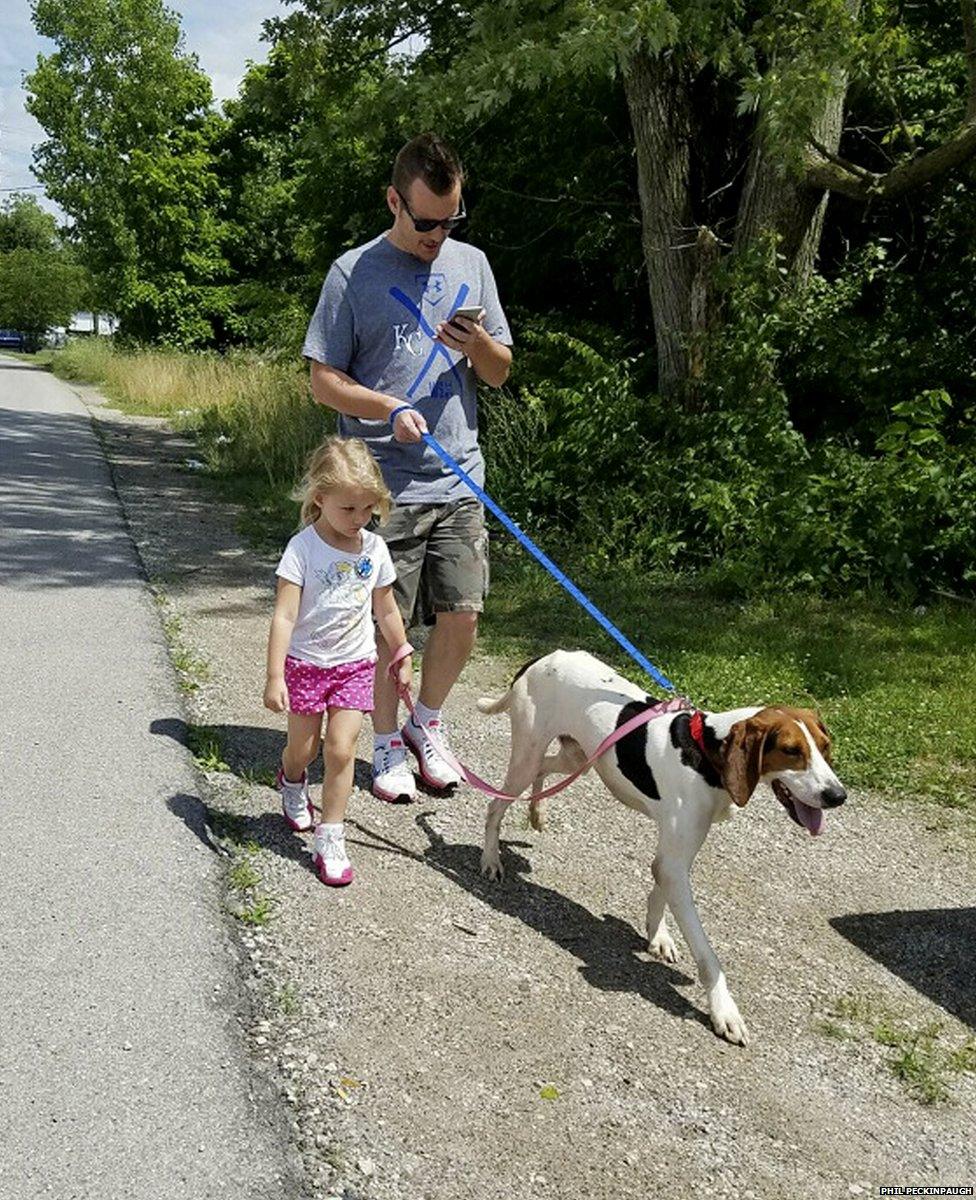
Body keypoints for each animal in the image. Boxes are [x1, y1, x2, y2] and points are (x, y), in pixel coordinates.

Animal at [475, 652, 840, 1046]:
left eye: (825, 747)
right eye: (791, 751)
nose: (838, 796)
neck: (705, 751)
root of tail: (545, 657)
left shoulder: (676, 855)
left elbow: (659, 888)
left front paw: (657, 934)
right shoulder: (675, 860)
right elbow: (708, 956)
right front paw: (724, 1010)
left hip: (577, 757)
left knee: (543, 771)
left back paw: (537, 811)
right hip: (527, 756)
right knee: (495, 805)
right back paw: (491, 859)